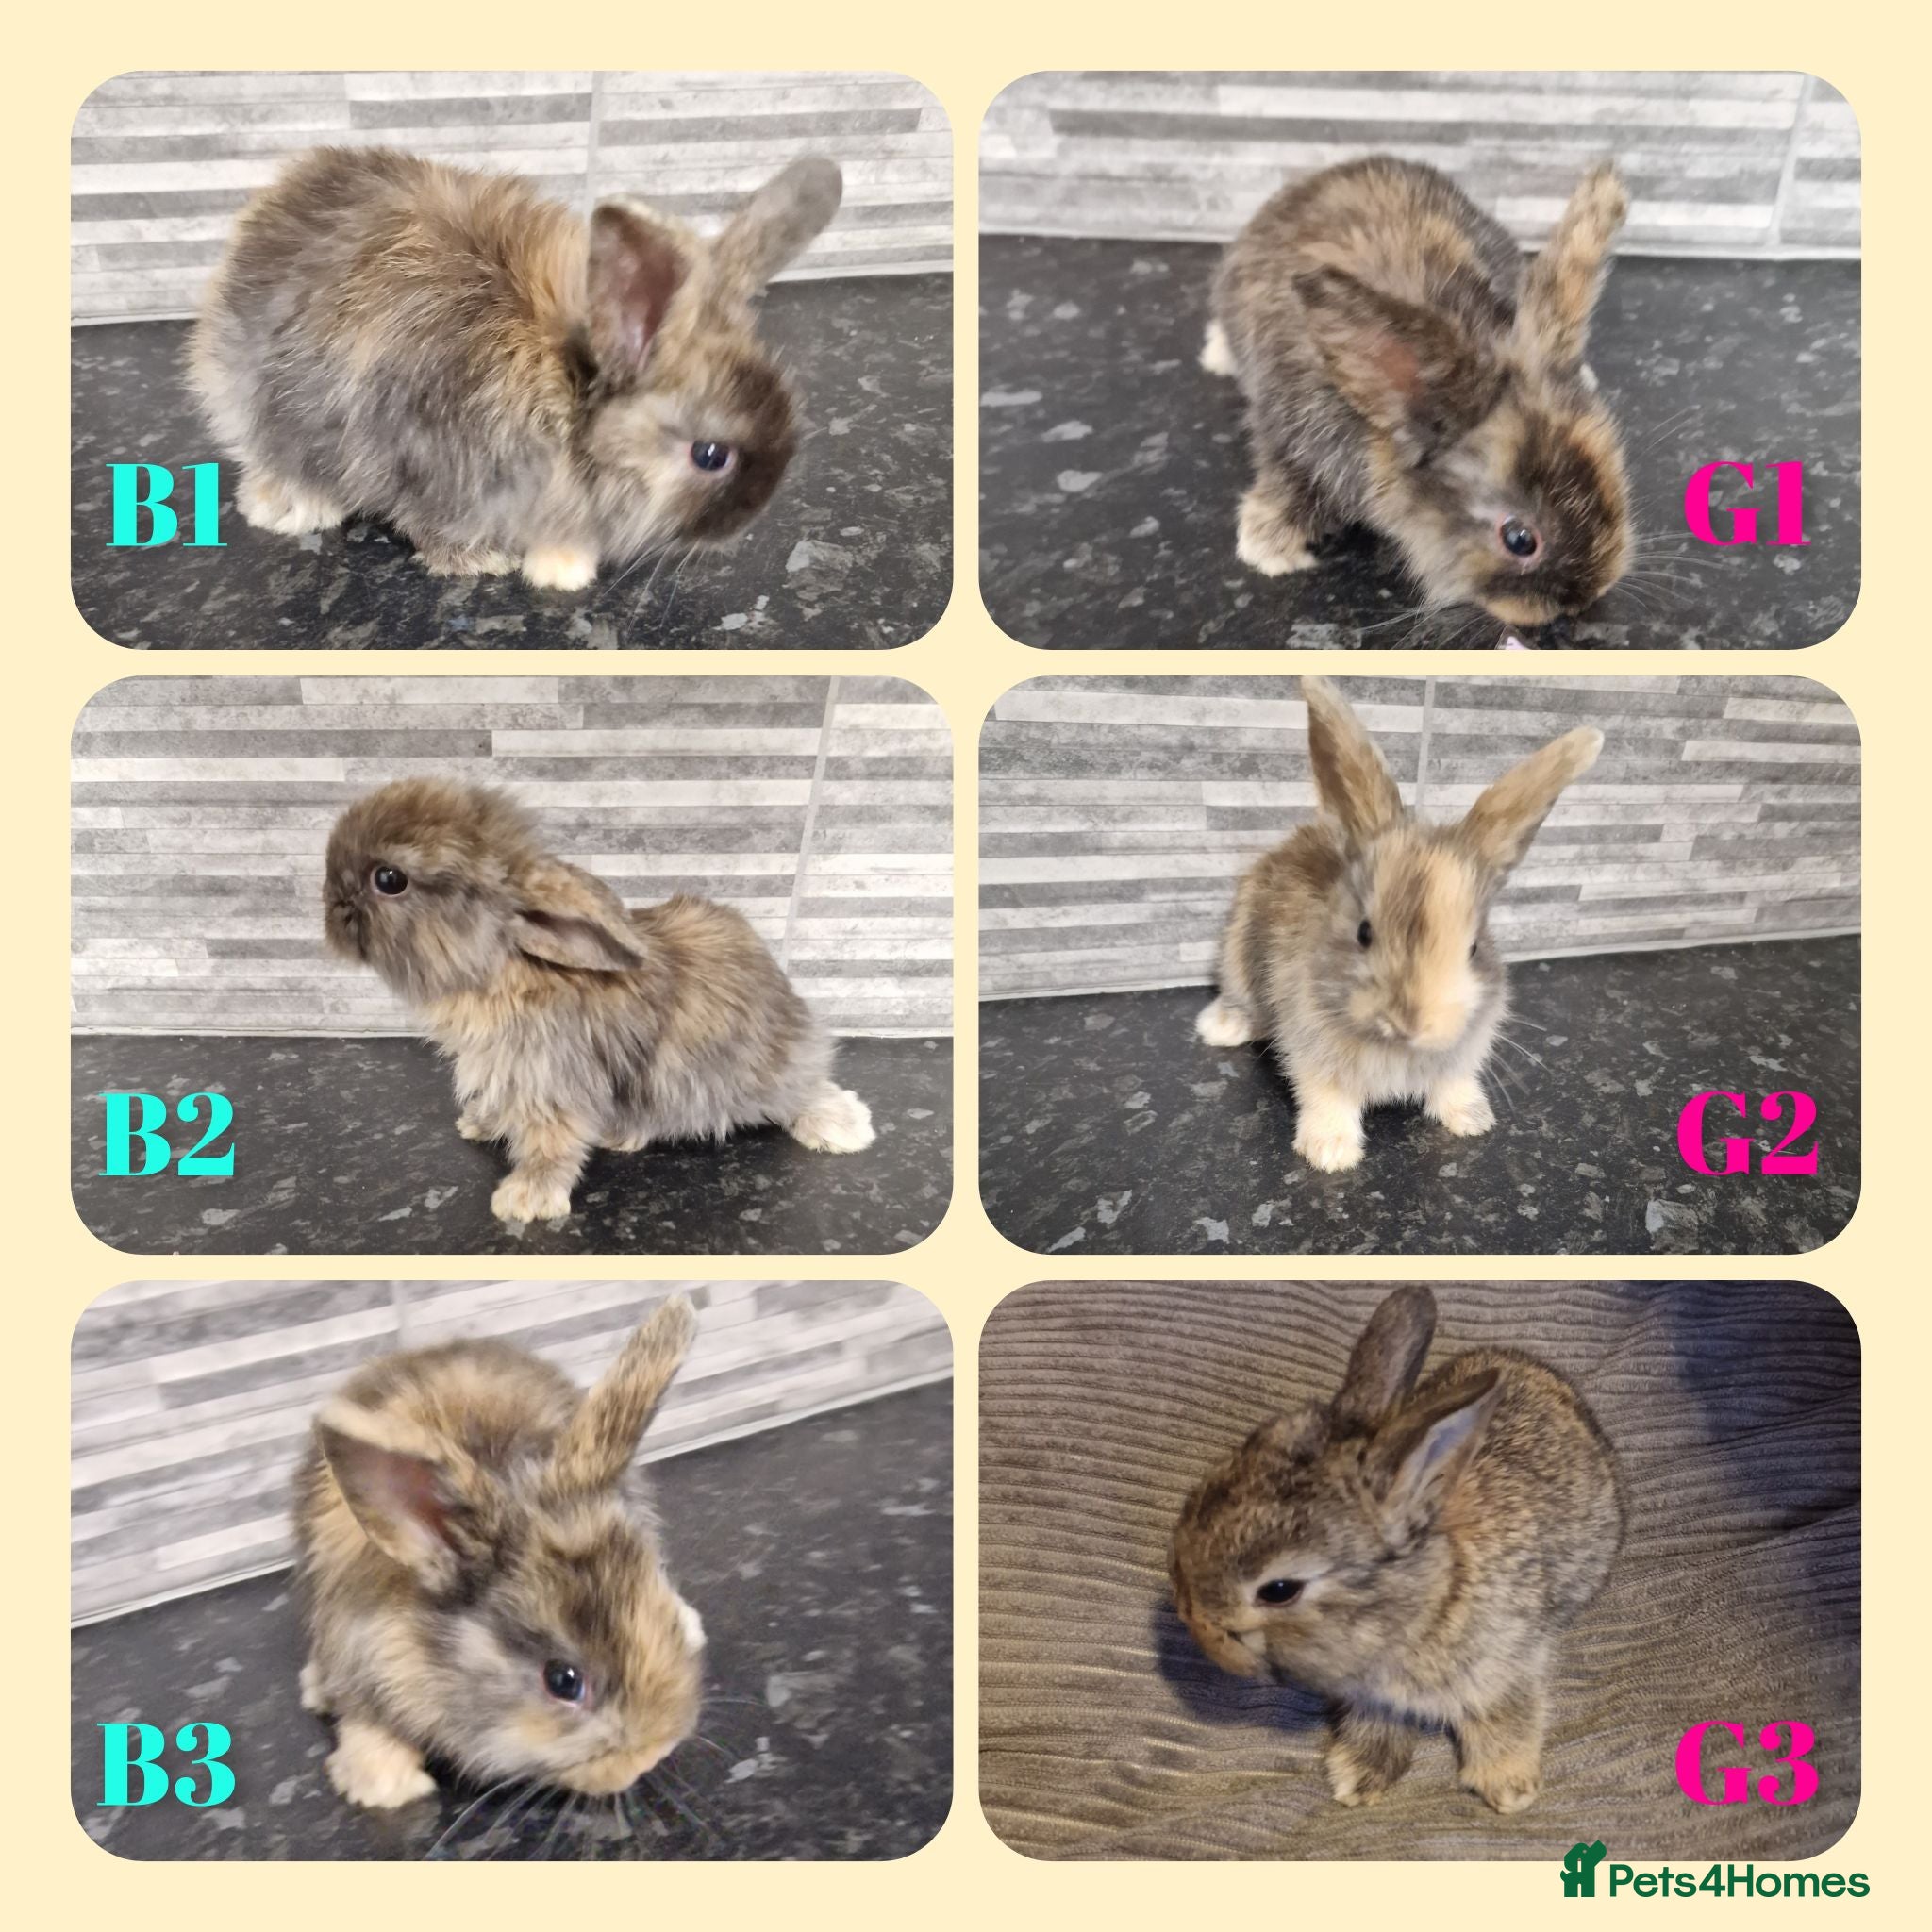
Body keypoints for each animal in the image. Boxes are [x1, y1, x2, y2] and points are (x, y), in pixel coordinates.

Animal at [190, 144, 842, 591]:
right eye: (710, 456)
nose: (746, 524)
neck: (567, 388)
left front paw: (563, 565)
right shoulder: (433, 469)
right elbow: (438, 531)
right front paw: (495, 565)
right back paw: (290, 507)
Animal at [295, 1294, 707, 1809]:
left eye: (661, 1623)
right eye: (563, 1680)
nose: (652, 1754)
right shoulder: (355, 1648)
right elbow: (366, 1720)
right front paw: (383, 1786)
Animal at [323, 777, 874, 1229]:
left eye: (389, 879)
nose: (331, 900)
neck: (509, 964)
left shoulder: (551, 1079)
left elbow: (551, 1144)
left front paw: (524, 1199)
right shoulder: (505, 1072)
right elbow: (503, 1108)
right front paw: (479, 1123)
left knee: (803, 1094)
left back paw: (846, 1129)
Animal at [1170, 1285, 1622, 1814]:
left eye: (1278, 1590)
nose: (1193, 1621)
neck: (1423, 1603)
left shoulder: (1508, 1665)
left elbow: (1505, 1715)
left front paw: (1508, 1788)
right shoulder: (1374, 1697)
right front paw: (1357, 1778)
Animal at [1196, 677, 1600, 1173]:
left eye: (1473, 948)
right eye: (1363, 933)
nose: (1411, 1022)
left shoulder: (1465, 1051)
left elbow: (1455, 1083)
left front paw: (1472, 1120)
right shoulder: (1313, 1050)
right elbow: (1327, 1097)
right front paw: (1331, 1154)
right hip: (1237, 956)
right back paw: (1219, 1028)